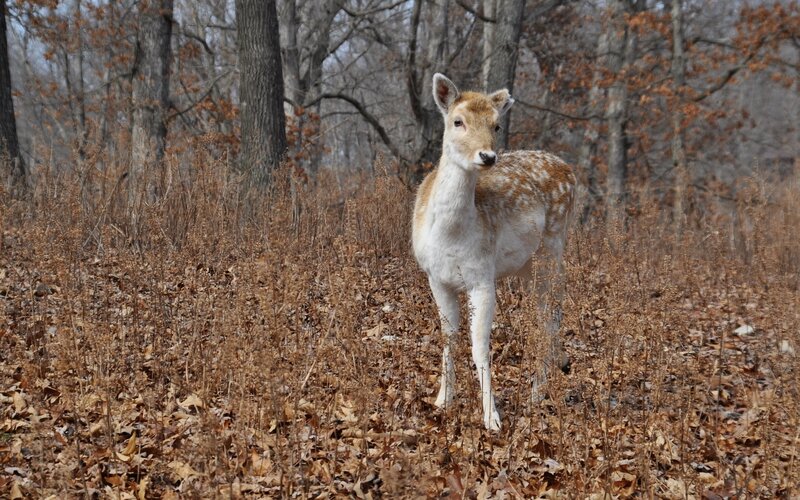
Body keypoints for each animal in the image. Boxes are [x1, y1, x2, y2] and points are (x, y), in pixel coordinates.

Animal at [412, 74, 576, 431]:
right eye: (457, 121)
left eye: (496, 124)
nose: (487, 156)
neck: (451, 237)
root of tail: (569, 169)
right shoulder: (436, 278)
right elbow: (448, 337)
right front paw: (443, 400)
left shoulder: (482, 277)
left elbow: (479, 347)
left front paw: (492, 418)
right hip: (527, 265)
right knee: (547, 314)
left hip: (553, 247)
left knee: (550, 314)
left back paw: (537, 392)